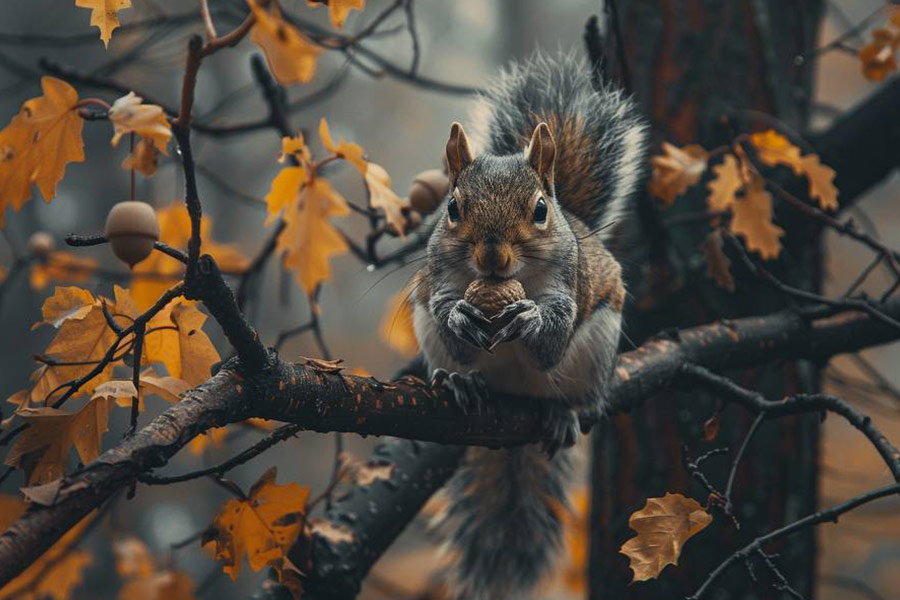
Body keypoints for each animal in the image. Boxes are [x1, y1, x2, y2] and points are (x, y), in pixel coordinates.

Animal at [411, 51, 647, 600]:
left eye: (540, 210)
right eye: (452, 208)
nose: (493, 256)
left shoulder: (570, 284)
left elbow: (552, 340)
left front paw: (531, 318)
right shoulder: (436, 282)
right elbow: (447, 316)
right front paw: (460, 318)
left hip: (596, 351)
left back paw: (564, 412)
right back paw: (460, 382)